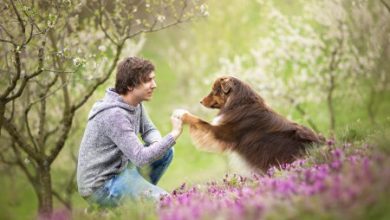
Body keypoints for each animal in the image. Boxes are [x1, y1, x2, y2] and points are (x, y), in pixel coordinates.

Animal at [175, 75, 324, 174]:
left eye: (214, 90)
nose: (200, 101)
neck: (239, 103)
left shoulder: (224, 133)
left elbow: (200, 121)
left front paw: (182, 115)